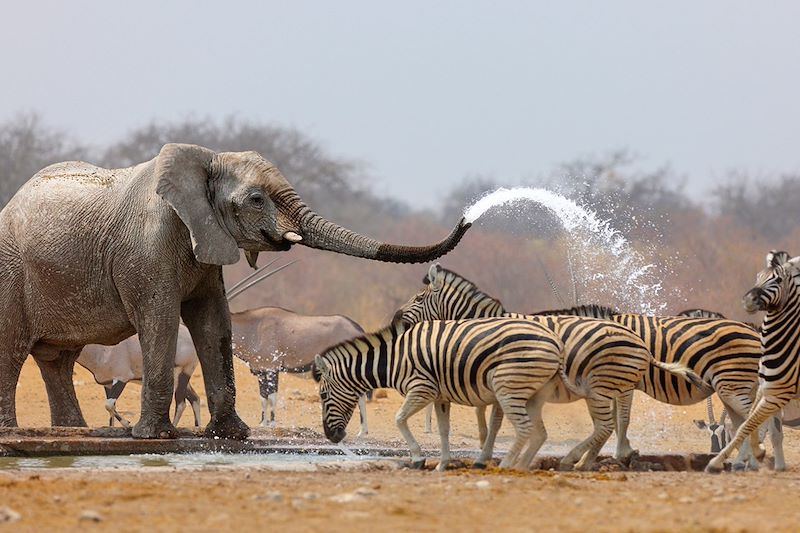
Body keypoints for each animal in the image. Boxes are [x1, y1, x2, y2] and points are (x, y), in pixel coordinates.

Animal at [0, 141, 468, 436]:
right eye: (258, 200)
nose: (466, 218)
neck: (206, 160)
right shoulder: (147, 250)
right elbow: (161, 320)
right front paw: (155, 437)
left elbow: (213, 322)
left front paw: (232, 434)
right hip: (11, 269)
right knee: (14, 348)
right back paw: (15, 431)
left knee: (57, 360)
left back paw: (72, 430)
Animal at [312, 316, 564, 470]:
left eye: (323, 396)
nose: (331, 437)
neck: (394, 359)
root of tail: (555, 341)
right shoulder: (440, 396)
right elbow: (443, 430)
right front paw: (443, 464)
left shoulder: (422, 388)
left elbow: (399, 419)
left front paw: (418, 458)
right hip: (529, 393)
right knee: (535, 432)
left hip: (508, 387)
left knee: (524, 428)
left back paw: (506, 465)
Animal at [400, 264, 780, 468]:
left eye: (418, 299)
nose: (397, 321)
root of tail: (750, 330)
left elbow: (493, 422)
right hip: (733, 386)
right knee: (750, 420)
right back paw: (744, 461)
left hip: (731, 383)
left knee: (753, 419)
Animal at [708, 251, 800, 472]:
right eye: (757, 276)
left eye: (778, 279)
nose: (749, 300)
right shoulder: (765, 391)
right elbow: (752, 424)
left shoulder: (776, 394)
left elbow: (755, 425)